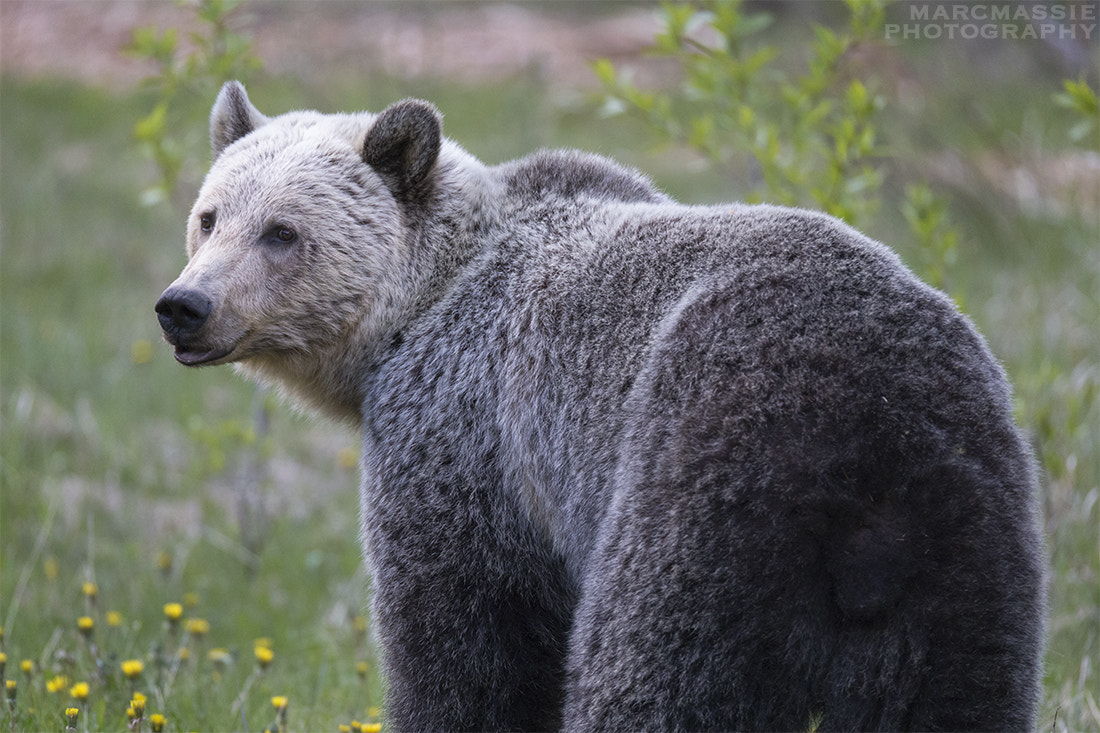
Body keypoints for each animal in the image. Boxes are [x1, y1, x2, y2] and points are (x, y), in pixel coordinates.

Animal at [156, 81, 1047, 732]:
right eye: (209, 216)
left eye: (281, 232)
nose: (184, 306)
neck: (412, 315)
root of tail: (868, 447)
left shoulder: (468, 435)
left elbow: (463, 635)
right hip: (968, 547)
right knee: (962, 695)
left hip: (701, 493)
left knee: (652, 673)